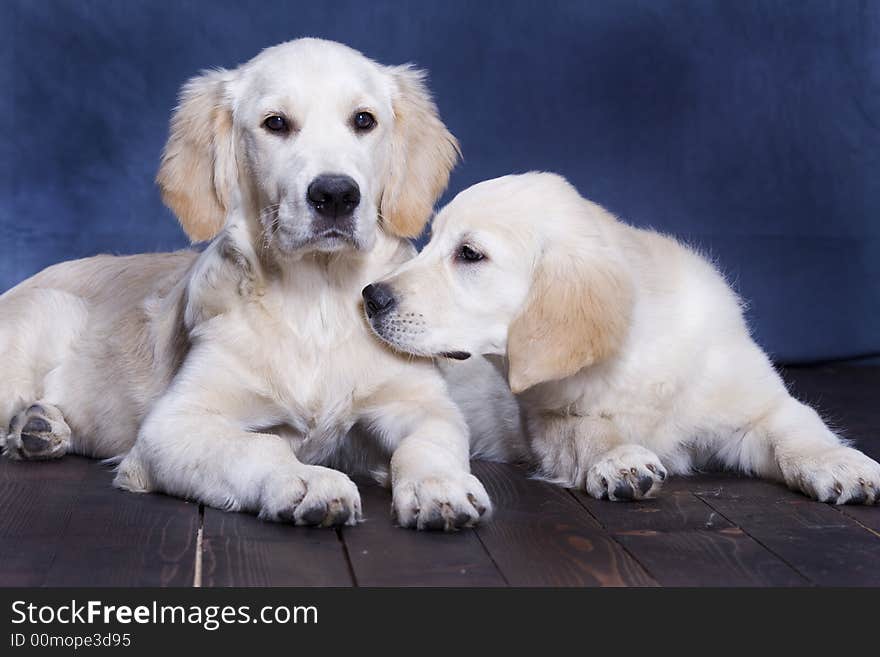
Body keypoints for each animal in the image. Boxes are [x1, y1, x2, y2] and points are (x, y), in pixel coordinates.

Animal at [0, 38, 496, 532]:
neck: (318, 302)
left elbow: (430, 441)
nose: (335, 195)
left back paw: (38, 428)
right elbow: (259, 445)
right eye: (275, 123)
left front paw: (440, 486)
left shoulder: (422, 403)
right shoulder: (173, 425)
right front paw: (307, 482)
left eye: (363, 120)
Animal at [364, 172, 880, 504]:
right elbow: (591, 429)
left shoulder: (759, 404)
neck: (633, 360)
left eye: (469, 254)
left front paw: (840, 464)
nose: (370, 297)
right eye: (430, 241)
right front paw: (620, 459)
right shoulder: (548, 424)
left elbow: (797, 431)